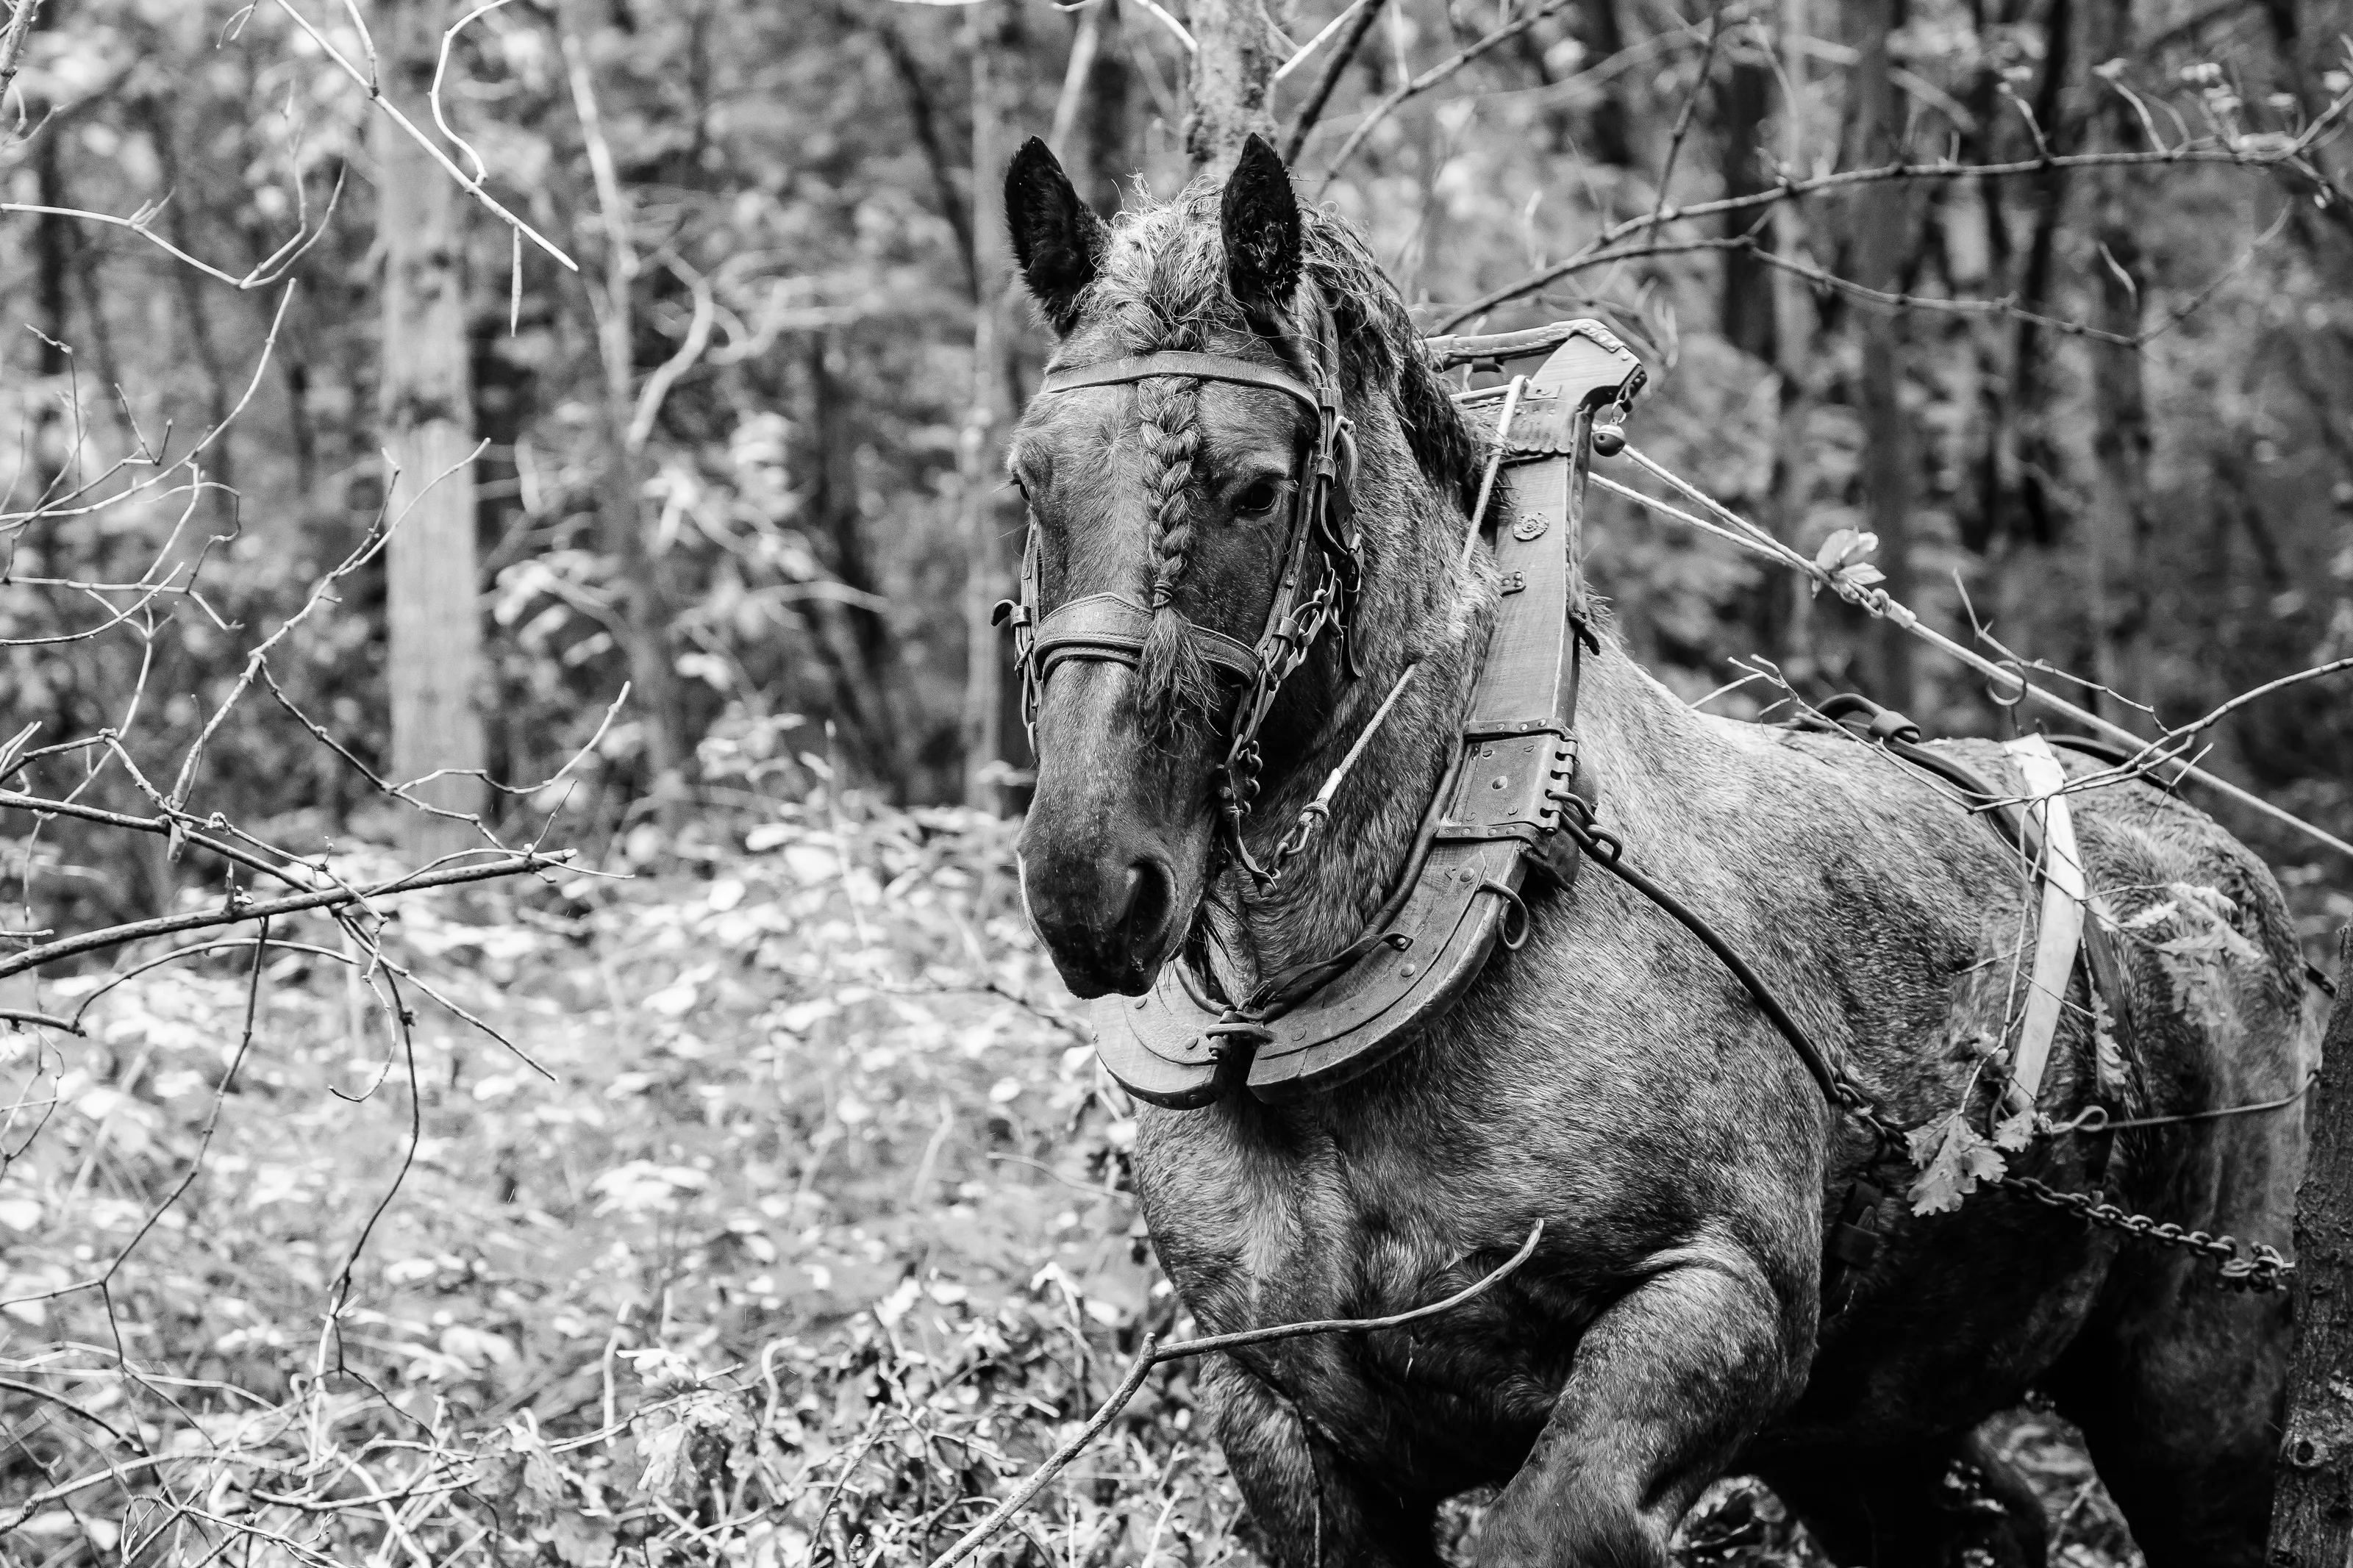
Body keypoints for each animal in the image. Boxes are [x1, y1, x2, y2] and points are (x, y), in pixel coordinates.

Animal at [1000, 132, 2321, 1567]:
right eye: (1031, 476)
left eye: (1256, 485)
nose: (1089, 881)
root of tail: (2220, 867)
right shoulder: (1284, 1419)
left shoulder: (1713, 1307)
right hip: (1866, 1434)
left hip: (2198, 1390)